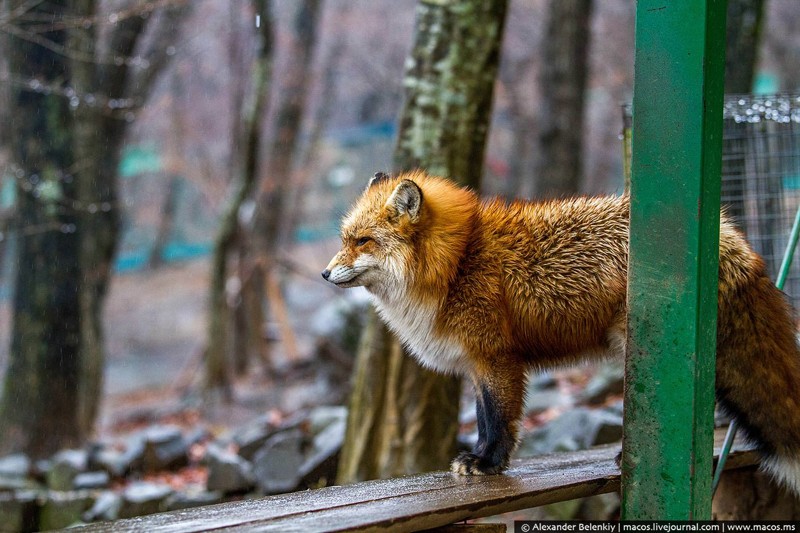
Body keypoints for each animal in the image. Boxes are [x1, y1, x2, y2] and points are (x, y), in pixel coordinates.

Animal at [320, 171, 800, 494]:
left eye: (362, 241)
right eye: (344, 239)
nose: (323, 274)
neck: (457, 263)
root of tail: (729, 235)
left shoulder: (497, 358)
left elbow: (499, 419)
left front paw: (488, 463)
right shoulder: (477, 364)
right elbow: (482, 416)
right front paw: (483, 459)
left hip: (646, 352)